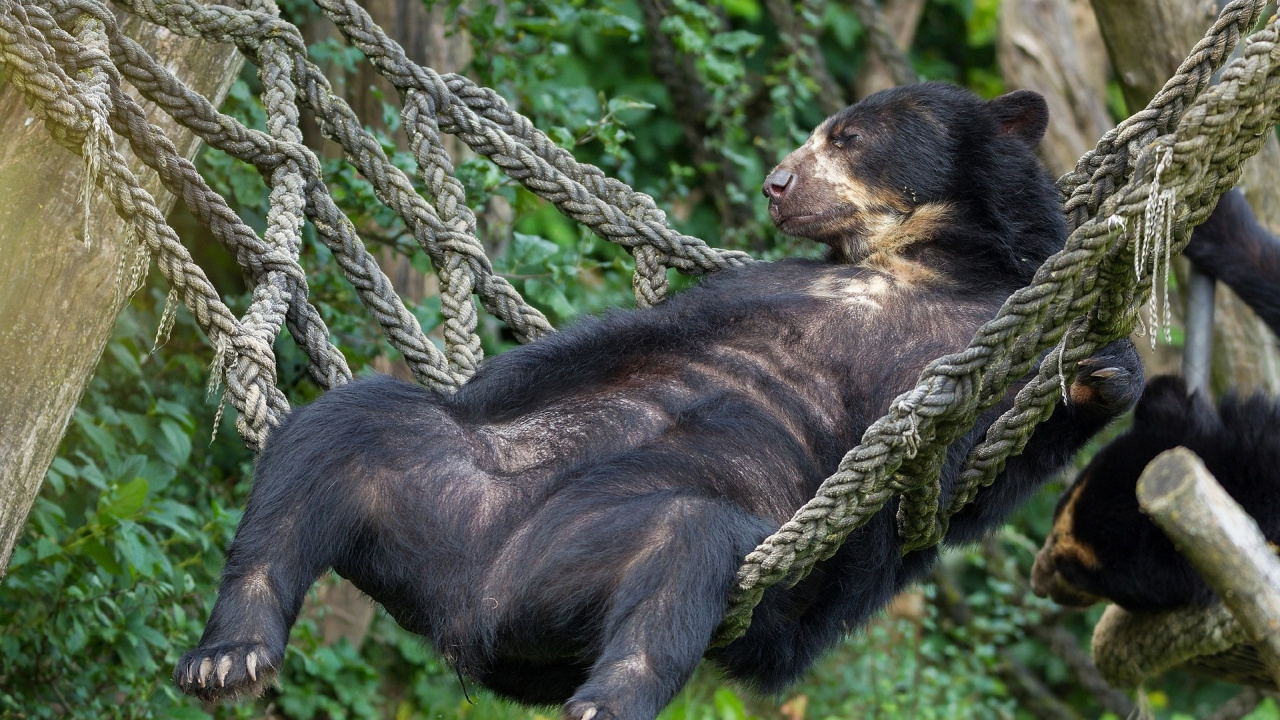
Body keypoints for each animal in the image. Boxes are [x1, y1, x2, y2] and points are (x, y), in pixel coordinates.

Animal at [175, 82, 1143, 720]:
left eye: (850, 136)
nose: (776, 183)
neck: (915, 262)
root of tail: (464, 608)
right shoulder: (762, 287)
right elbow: (617, 339)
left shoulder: (985, 337)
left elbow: (976, 478)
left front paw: (1107, 371)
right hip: (446, 481)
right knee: (342, 432)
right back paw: (230, 655)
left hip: (590, 561)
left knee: (685, 554)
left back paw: (606, 699)